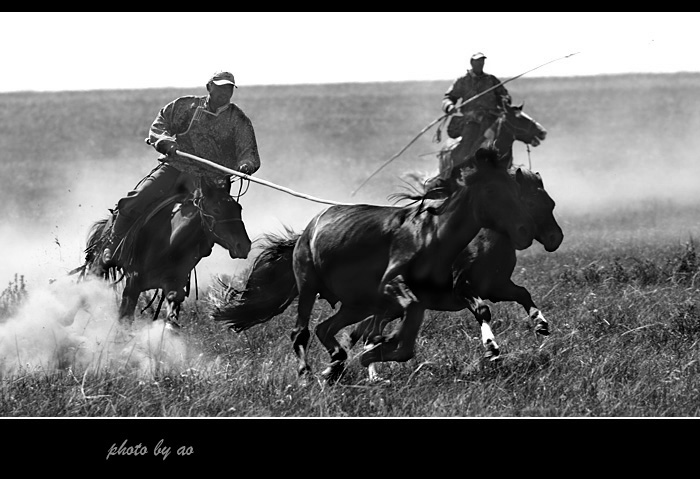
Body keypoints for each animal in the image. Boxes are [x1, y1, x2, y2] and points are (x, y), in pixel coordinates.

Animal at [79, 177, 252, 330]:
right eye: (216, 209)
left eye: (239, 208)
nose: (243, 245)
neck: (170, 244)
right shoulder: (133, 283)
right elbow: (125, 318)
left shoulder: (173, 285)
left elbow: (171, 322)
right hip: (99, 265)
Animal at [213, 146, 536, 382]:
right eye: (492, 191)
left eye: (514, 187)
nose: (523, 229)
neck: (432, 236)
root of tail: (307, 230)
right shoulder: (394, 284)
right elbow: (402, 325)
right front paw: (379, 349)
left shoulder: (415, 297)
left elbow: (400, 332)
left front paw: (375, 352)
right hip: (308, 284)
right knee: (301, 331)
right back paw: (308, 373)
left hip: (356, 303)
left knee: (325, 329)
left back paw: (336, 365)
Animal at [348, 167, 564, 380]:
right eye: (530, 202)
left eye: (551, 203)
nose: (555, 238)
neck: (484, 243)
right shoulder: (463, 287)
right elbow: (483, 310)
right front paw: (491, 347)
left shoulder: (497, 287)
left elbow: (522, 293)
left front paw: (541, 323)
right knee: (369, 333)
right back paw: (372, 375)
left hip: (393, 308)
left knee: (369, 331)